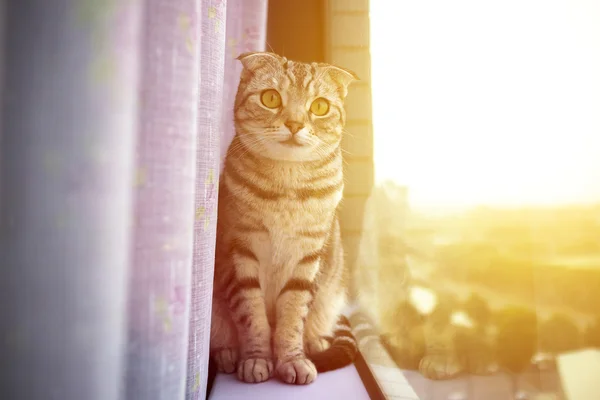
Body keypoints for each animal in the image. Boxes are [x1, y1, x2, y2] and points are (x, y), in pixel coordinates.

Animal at [211, 51, 358, 386]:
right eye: (271, 98)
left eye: (320, 106)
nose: (294, 123)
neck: (287, 187)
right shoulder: (238, 254)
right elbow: (253, 317)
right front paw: (256, 359)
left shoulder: (308, 260)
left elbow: (292, 316)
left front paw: (292, 359)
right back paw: (227, 354)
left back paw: (316, 342)